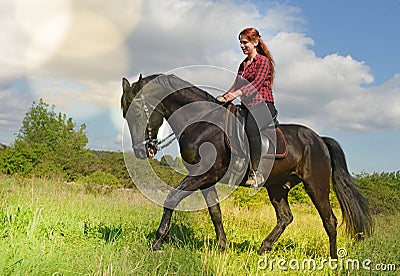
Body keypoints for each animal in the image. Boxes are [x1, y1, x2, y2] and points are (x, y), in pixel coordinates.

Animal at [120, 74, 374, 258]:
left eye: (138, 113)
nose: (142, 151)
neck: (201, 122)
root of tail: (319, 139)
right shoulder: (204, 177)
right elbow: (215, 212)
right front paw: (222, 247)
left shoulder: (205, 173)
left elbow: (172, 198)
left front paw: (157, 241)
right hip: (277, 186)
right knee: (285, 217)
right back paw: (263, 249)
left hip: (316, 185)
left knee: (329, 220)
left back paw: (333, 259)